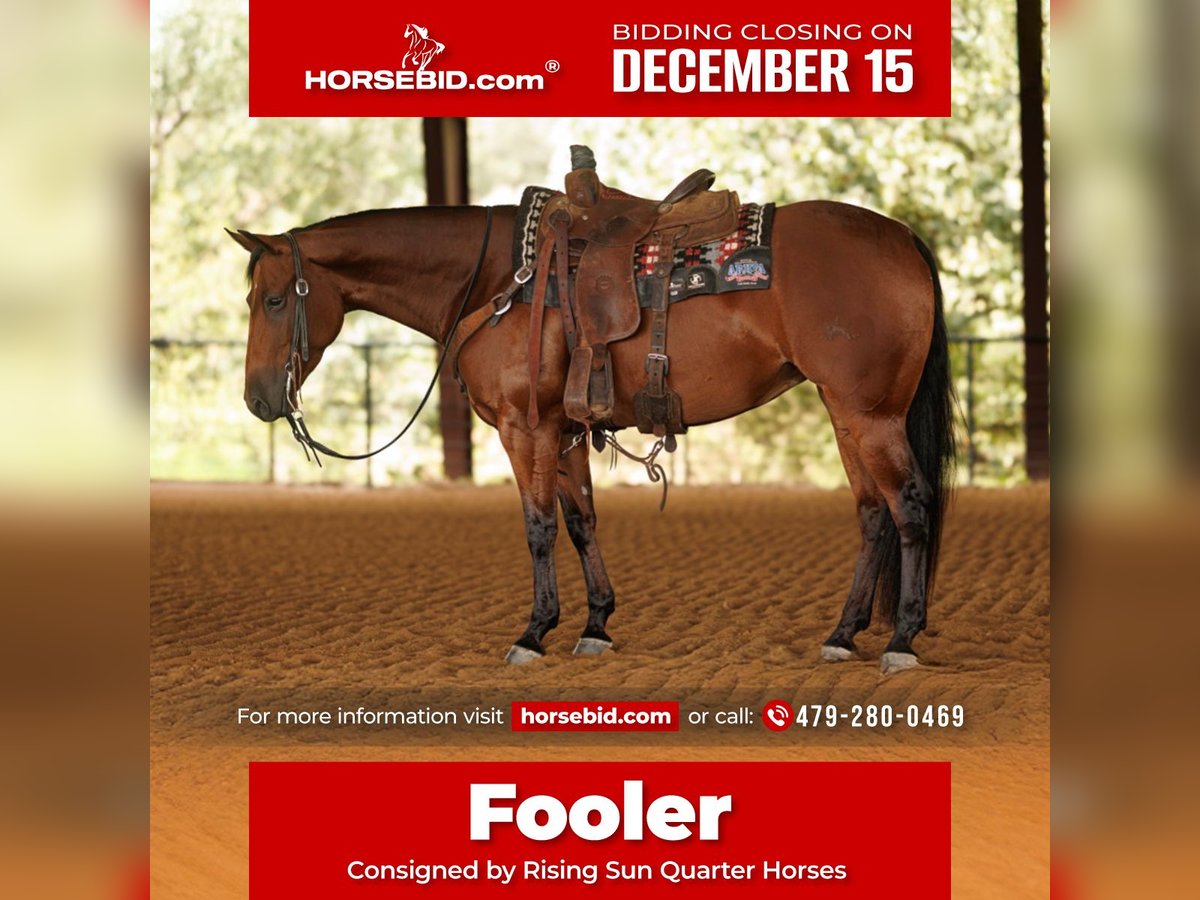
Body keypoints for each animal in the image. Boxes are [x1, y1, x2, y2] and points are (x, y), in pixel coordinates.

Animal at [227, 198, 955, 675]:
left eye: (272, 300)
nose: (258, 399)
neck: (496, 281)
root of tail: (901, 238)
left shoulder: (525, 428)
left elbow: (539, 526)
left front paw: (533, 632)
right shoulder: (566, 431)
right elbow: (580, 522)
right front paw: (596, 623)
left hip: (871, 414)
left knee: (911, 505)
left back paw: (901, 641)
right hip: (845, 412)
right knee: (873, 513)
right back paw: (843, 634)